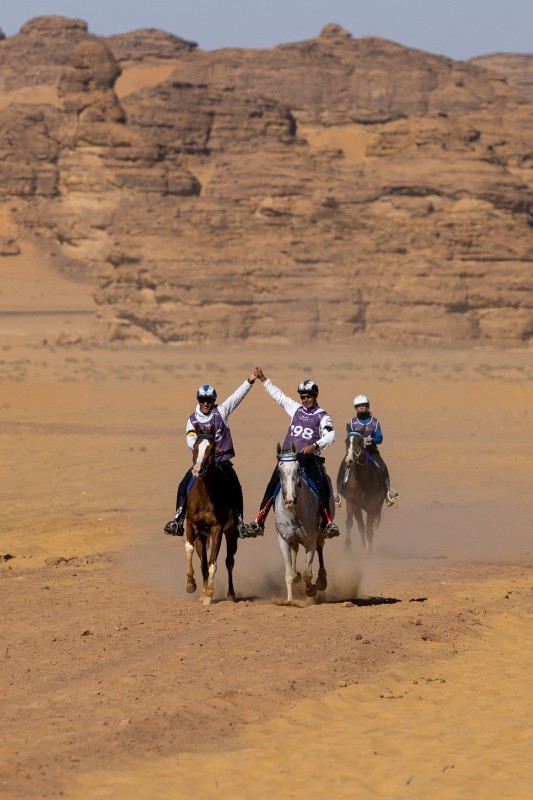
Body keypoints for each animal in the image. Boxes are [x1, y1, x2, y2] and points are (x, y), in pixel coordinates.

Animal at [185, 422, 239, 604]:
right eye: (195, 445)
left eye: (213, 448)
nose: (197, 470)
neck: (205, 497)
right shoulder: (191, 525)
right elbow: (190, 549)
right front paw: (191, 584)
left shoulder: (217, 529)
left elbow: (212, 562)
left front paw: (209, 594)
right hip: (202, 536)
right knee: (202, 560)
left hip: (231, 533)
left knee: (229, 561)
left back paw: (230, 594)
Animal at [274, 440, 328, 604]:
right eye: (279, 471)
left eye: (297, 469)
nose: (290, 499)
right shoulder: (283, 539)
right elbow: (289, 573)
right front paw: (289, 600)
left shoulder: (310, 540)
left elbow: (307, 573)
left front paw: (311, 590)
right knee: (295, 549)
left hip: (320, 533)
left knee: (320, 546)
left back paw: (322, 581)